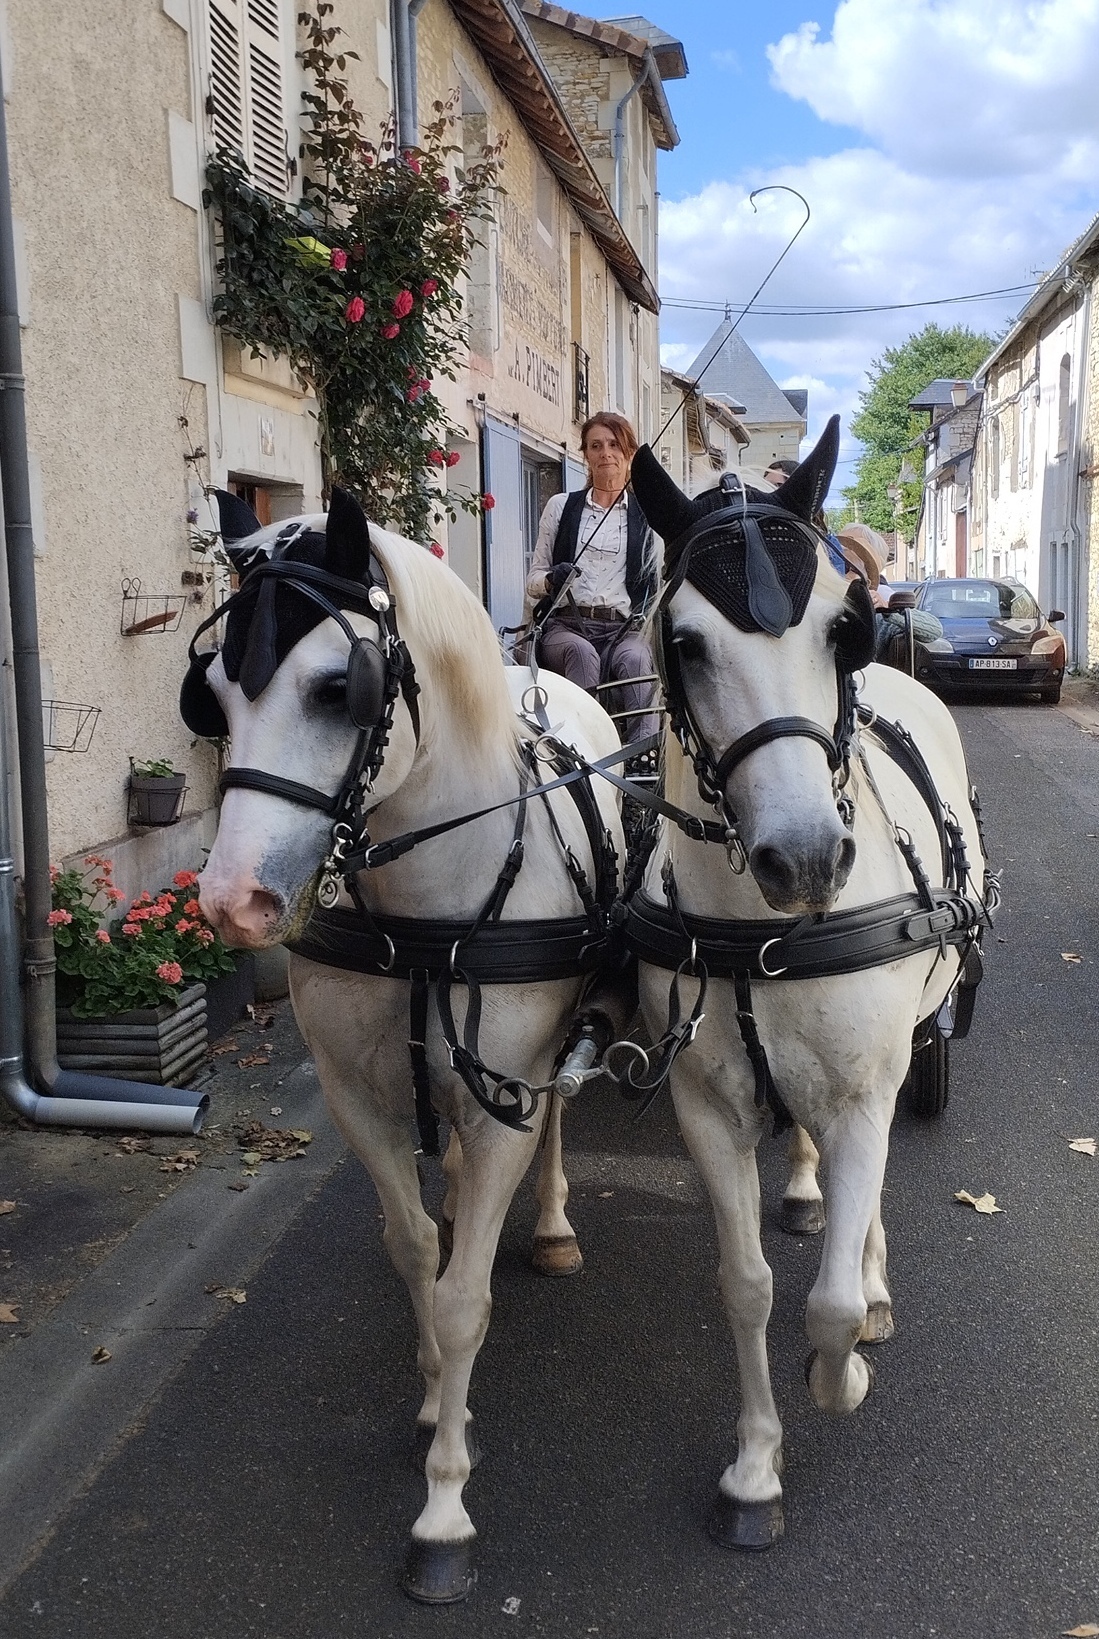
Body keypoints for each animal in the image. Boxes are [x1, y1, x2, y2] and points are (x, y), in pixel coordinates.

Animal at [182, 481, 628, 1599]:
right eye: (209, 694)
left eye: (338, 685)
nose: (233, 902)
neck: (430, 907)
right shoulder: (358, 1099)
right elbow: (414, 1245)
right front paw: (434, 1398)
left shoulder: (505, 1091)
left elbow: (465, 1293)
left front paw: (443, 1510)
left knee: (553, 1124)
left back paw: (550, 1222)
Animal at [622, 422, 995, 1547]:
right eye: (685, 643)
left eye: (844, 627)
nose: (804, 859)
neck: (765, 933)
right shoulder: (706, 1107)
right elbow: (744, 1285)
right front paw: (754, 1468)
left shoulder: (865, 1091)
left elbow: (824, 1305)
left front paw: (846, 1369)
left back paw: (867, 1285)